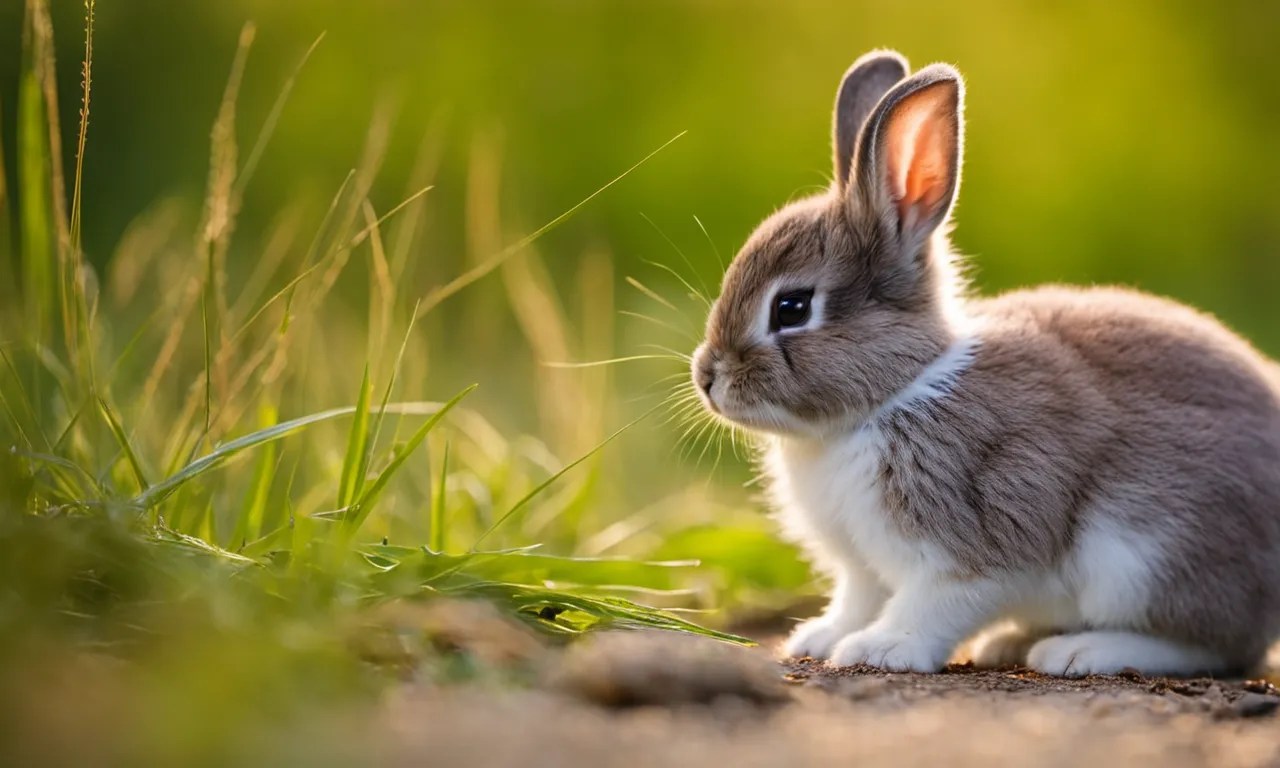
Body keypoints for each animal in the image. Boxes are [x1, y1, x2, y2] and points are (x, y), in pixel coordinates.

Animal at [690, 49, 1280, 677]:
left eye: (792, 307)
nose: (707, 378)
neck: (893, 394)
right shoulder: (863, 567)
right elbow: (859, 598)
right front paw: (822, 638)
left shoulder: (976, 537)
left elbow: (936, 603)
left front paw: (882, 648)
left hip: (1150, 558)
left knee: (1215, 644)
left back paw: (1080, 651)